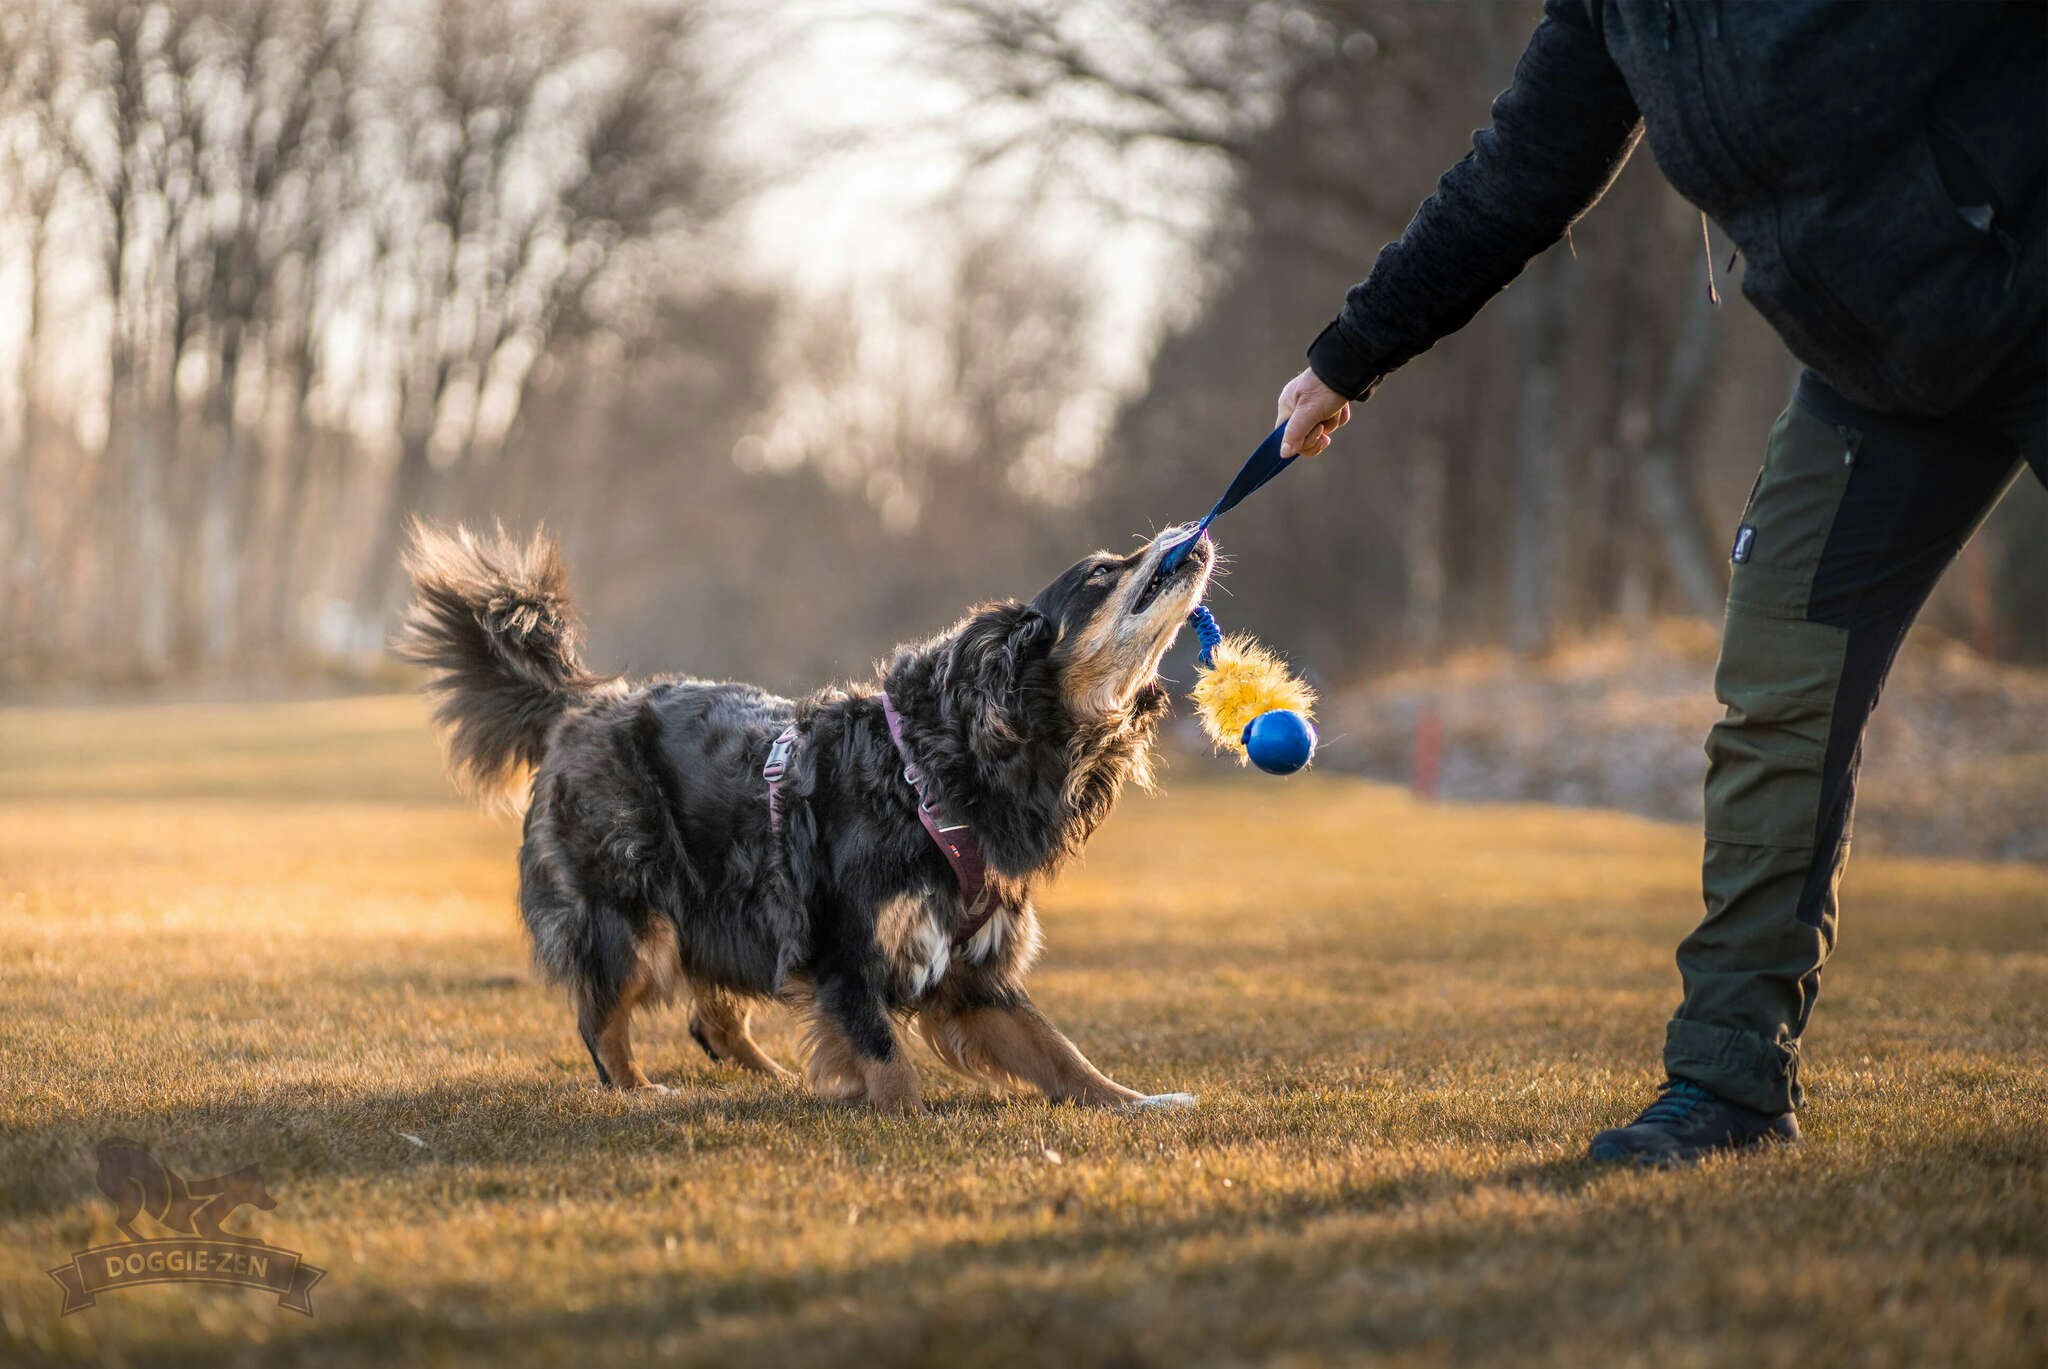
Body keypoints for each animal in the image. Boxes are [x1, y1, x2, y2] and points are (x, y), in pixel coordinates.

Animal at [399, 518, 1212, 1106]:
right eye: (1102, 572)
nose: (1192, 535)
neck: (935, 770)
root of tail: (579, 706)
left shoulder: (974, 972)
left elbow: (1058, 1051)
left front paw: (1139, 1101)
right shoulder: (845, 949)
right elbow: (888, 1058)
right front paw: (902, 1116)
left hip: (723, 915)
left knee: (711, 1018)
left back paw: (780, 1083)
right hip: (631, 916)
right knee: (600, 1019)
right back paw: (638, 1091)